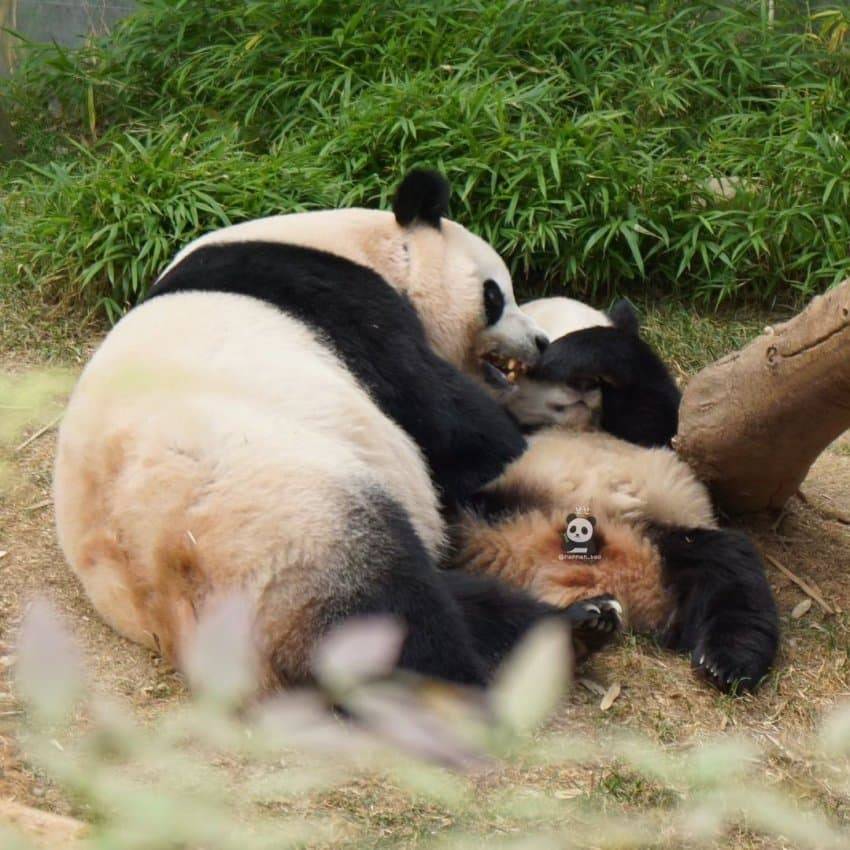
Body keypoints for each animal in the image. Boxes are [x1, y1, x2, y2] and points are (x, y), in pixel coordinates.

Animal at [54, 172, 624, 688]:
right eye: (494, 295)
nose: (541, 341)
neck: (355, 242)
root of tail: (170, 615)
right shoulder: (347, 305)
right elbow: (451, 425)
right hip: (286, 523)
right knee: (389, 610)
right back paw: (467, 683)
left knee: (458, 598)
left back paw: (582, 625)